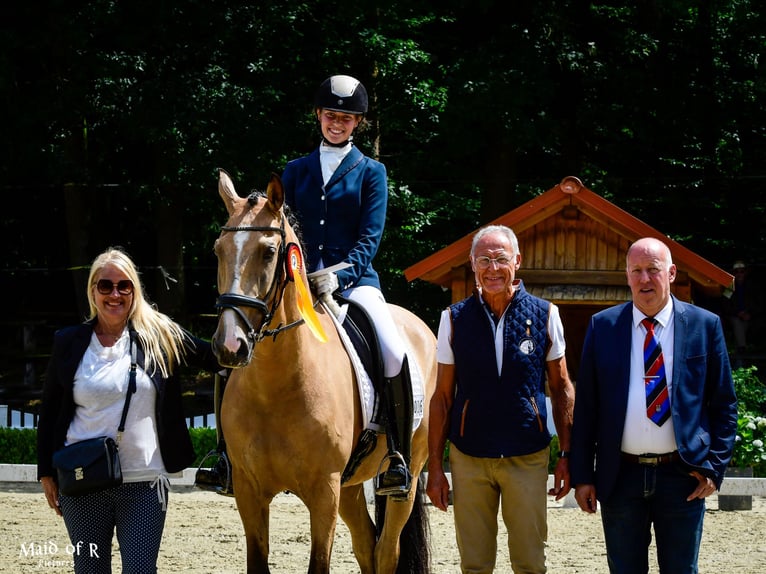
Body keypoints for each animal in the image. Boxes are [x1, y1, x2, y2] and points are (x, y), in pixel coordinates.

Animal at [210, 169, 438, 572]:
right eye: (218, 251)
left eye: (269, 252)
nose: (229, 345)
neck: (274, 386)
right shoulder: (249, 491)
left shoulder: (323, 492)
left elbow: (320, 562)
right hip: (351, 485)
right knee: (366, 545)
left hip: (405, 478)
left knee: (386, 551)